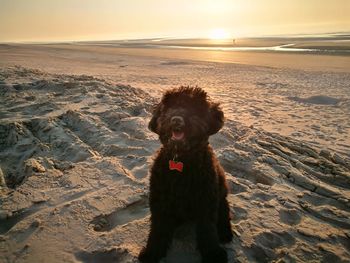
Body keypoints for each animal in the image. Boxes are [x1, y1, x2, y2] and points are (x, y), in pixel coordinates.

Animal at [139, 87, 232, 263]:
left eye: (194, 106)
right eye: (169, 107)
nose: (176, 120)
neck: (181, 159)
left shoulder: (206, 201)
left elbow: (208, 230)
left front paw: (213, 254)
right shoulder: (160, 200)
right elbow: (158, 228)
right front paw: (152, 252)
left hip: (221, 195)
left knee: (224, 213)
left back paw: (225, 232)